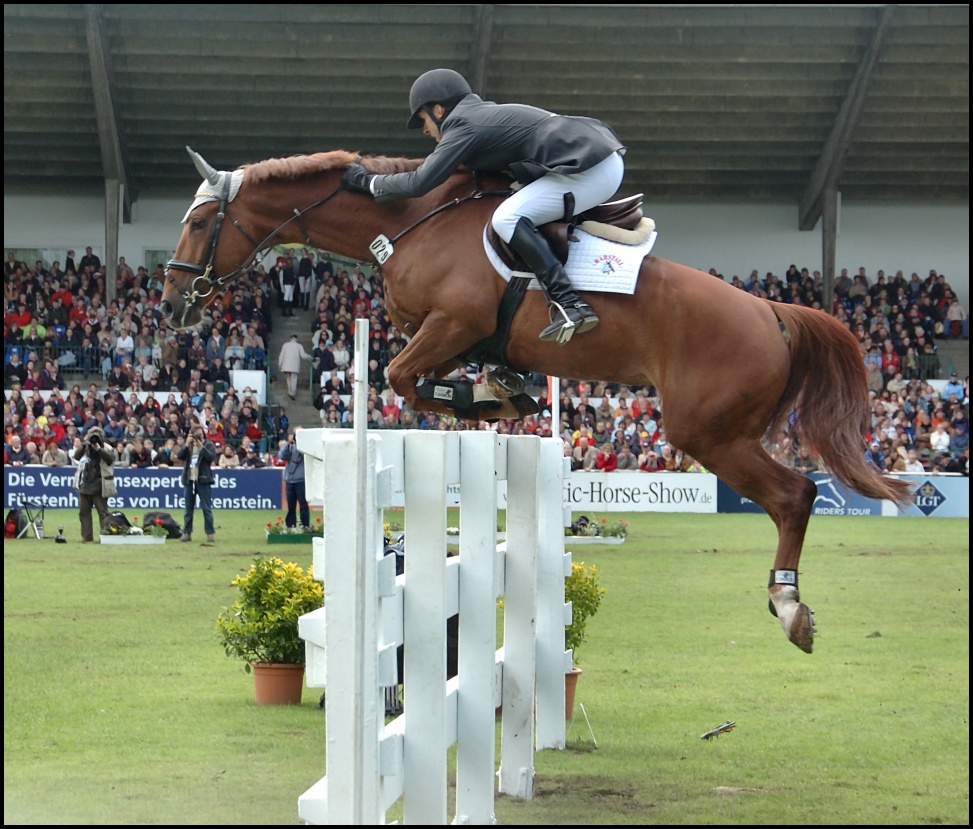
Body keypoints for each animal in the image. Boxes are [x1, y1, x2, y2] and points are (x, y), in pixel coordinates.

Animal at [159, 149, 912, 652]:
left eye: (197, 222)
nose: (170, 305)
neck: (409, 221)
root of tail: (771, 309)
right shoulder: (449, 334)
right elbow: (424, 375)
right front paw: (501, 388)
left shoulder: (451, 323)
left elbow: (403, 378)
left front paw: (485, 399)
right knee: (793, 494)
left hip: (707, 432)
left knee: (793, 495)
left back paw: (789, 604)